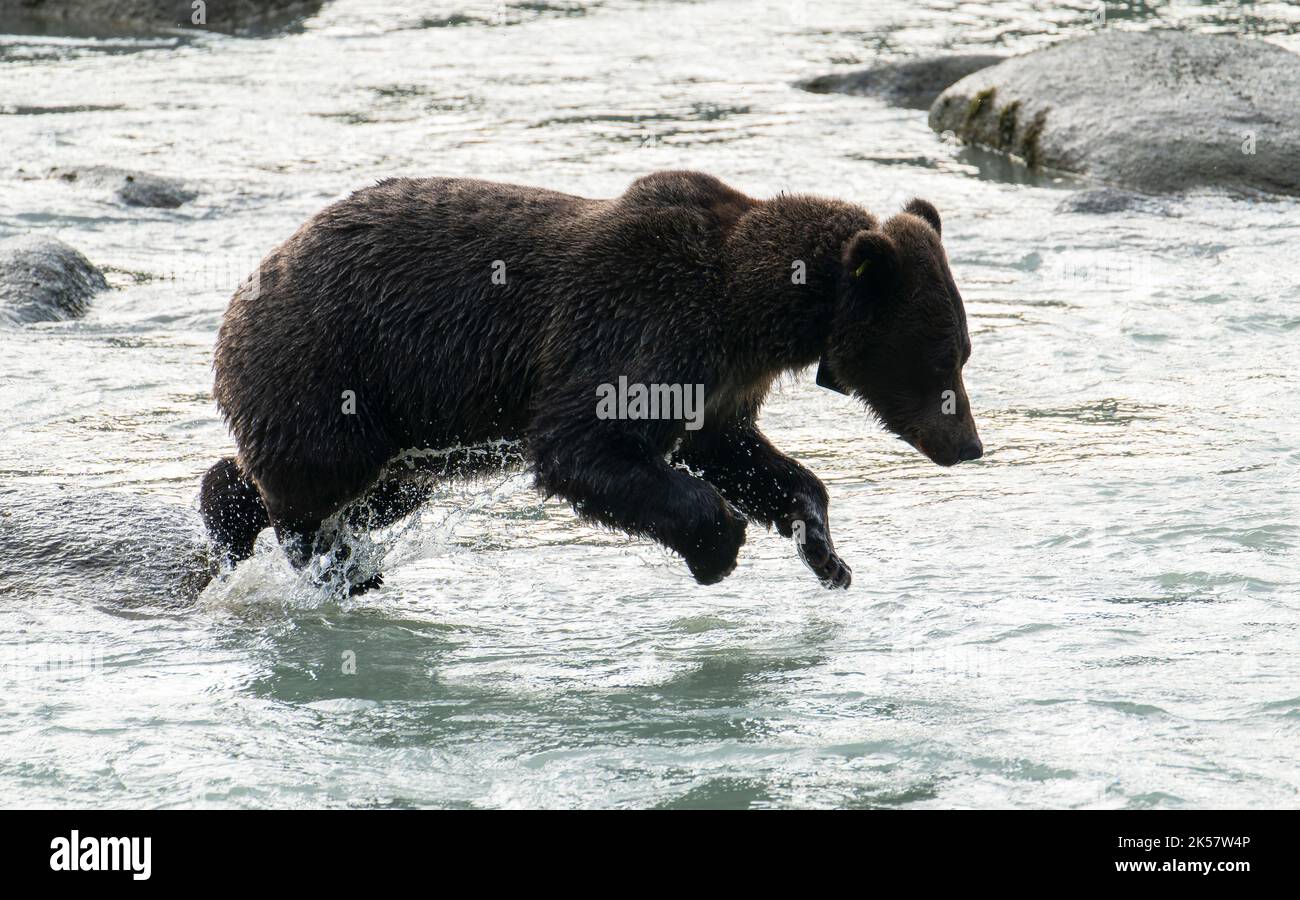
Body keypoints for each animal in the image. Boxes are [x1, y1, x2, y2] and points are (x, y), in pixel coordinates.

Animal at [201, 170, 982, 593]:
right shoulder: (644, 325)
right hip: (332, 366)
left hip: (403, 429)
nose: (970, 445)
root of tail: (247, 284)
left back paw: (238, 518)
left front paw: (825, 551)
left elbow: (736, 451)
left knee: (368, 490)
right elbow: (584, 445)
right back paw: (338, 566)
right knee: (319, 481)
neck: (755, 310)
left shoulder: (720, 382)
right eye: (945, 357)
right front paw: (718, 546)